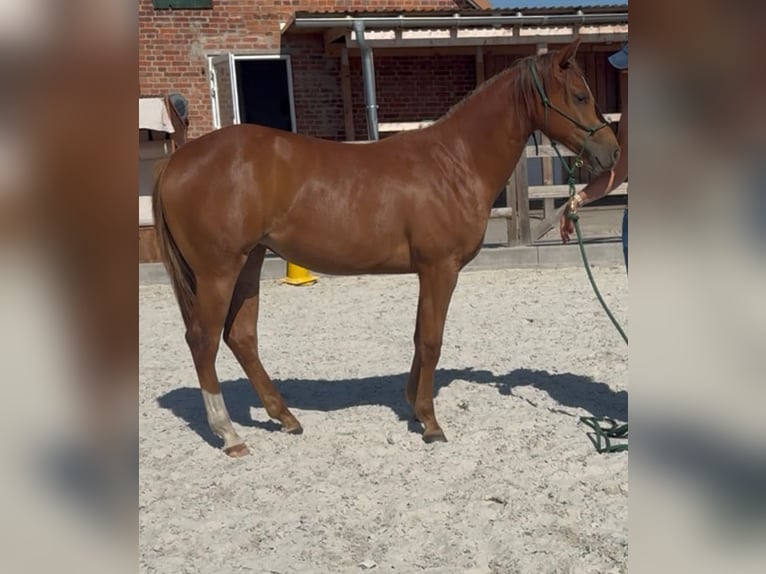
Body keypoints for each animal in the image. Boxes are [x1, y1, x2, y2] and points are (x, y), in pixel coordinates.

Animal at [152, 39, 620, 457]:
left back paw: (285, 417)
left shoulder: (427, 272)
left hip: (249, 262)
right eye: (580, 95)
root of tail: (178, 160)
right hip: (218, 270)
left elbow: (417, 337)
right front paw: (431, 423)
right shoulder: (439, 268)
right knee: (203, 340)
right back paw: (229, 434)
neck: (454, 161)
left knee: (241, 336)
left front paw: (414, 407)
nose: (612, 153)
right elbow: (431, 340)